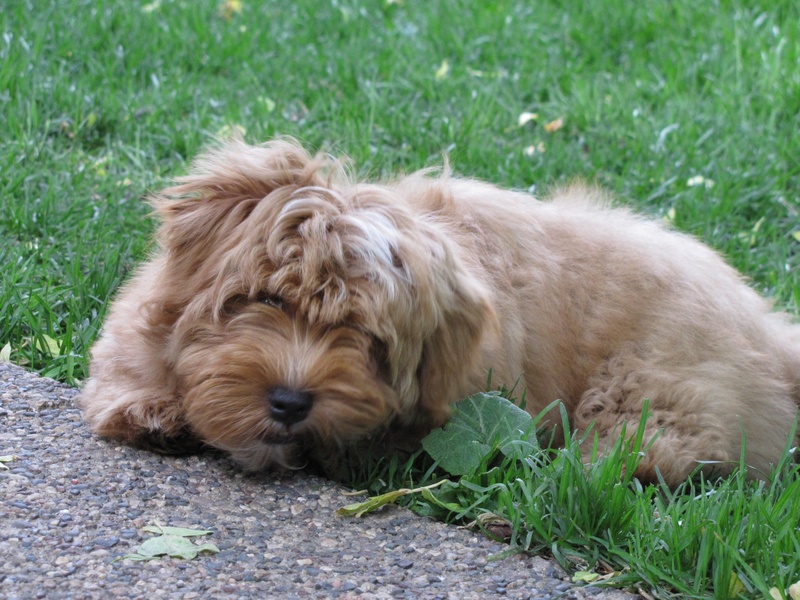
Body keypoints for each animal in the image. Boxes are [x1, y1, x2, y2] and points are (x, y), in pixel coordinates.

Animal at [76, 137, 800, 488]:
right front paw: (150, 407)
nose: (288, 401)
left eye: (364, 337)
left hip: (657, 384)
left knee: (659, 449)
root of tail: (769, 326)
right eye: (268, 300)